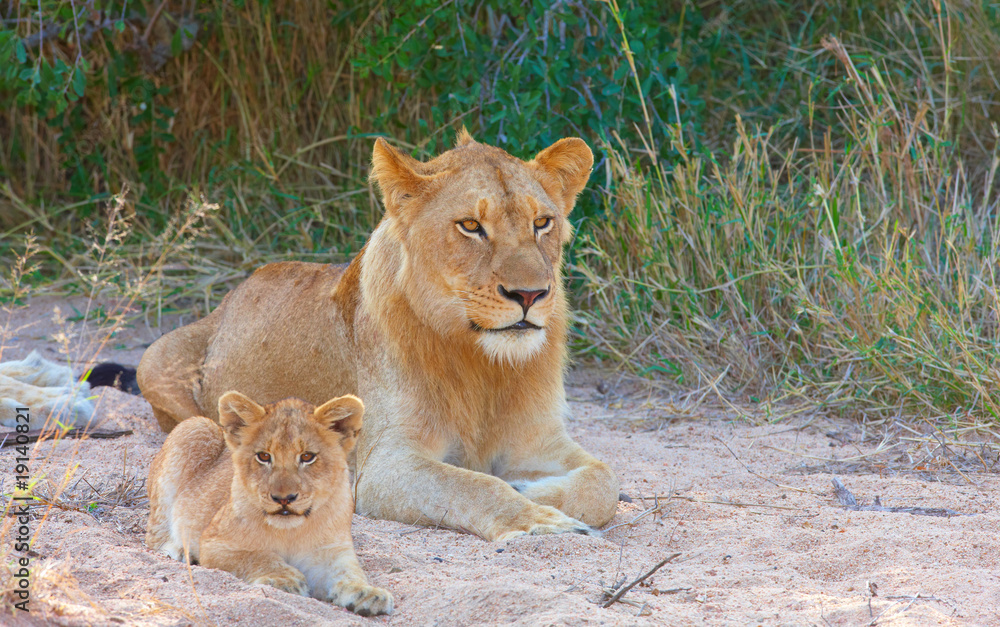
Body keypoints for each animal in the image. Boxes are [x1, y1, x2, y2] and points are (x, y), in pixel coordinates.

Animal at [137, 131, 620, 541]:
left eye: (542, 222)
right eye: (470, 226)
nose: (530, 294)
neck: (483, 364)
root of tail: (232, 295)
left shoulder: (538, 439)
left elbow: (603, 483)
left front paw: (530, 489)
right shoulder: (385, 467)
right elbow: (475, 487)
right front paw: (538, 519)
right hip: (155, 362)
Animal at [145, 391, 393, 616]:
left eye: (307, 457)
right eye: (264, 456)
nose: (284, 498)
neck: (290, 532)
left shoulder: (332, 550)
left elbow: (349, 572)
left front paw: (368, 593)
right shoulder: (214, 543)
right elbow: (258, 555)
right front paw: (284, 579)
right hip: (195, 426)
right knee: (155, 534)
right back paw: (178, 550)